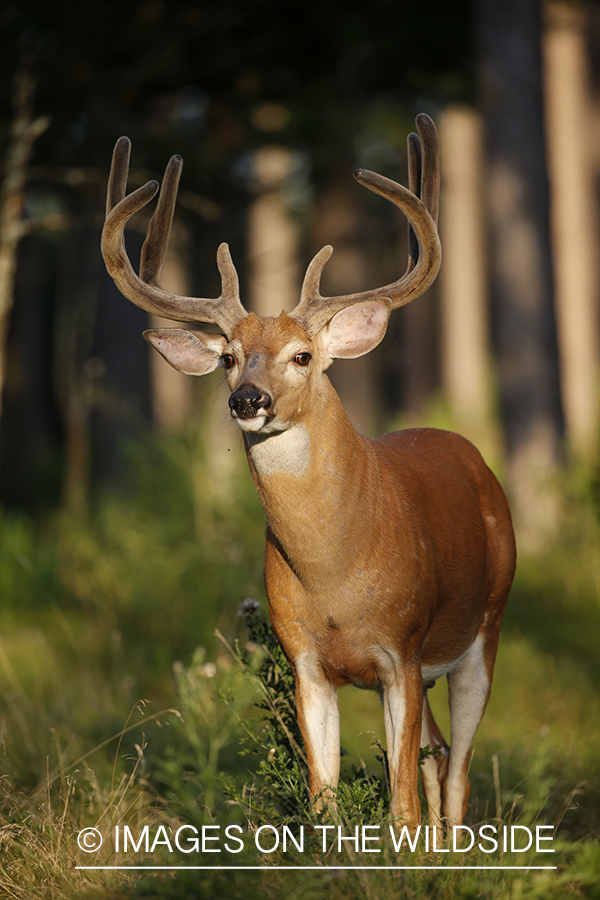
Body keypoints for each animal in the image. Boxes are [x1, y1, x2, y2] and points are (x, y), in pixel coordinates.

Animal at [102, 114, 516, 828]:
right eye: (229, 357)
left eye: (301, 355)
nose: (248, 400)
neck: (335, 572)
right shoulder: (305, 659)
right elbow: (324, 801)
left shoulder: (402, 648)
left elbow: (401, 807)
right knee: (437, 758)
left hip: (484, 628)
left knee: (457, 772)